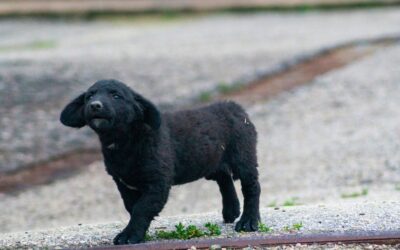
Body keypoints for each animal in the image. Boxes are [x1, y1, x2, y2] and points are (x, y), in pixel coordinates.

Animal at [58, 79, 260, 244]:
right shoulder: (123, 183)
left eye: (116, 96)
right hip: (212, 161)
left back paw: (249, 221)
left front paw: (129, 235)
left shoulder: (158, 182)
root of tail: (234, 107)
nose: (95, 105)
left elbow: (141, 208)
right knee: (224, 178)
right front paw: (138, 232)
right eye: (89, 96)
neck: (125, 141)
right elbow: (132, 206)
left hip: (243, 156)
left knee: (251, 187)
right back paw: (231, 210)